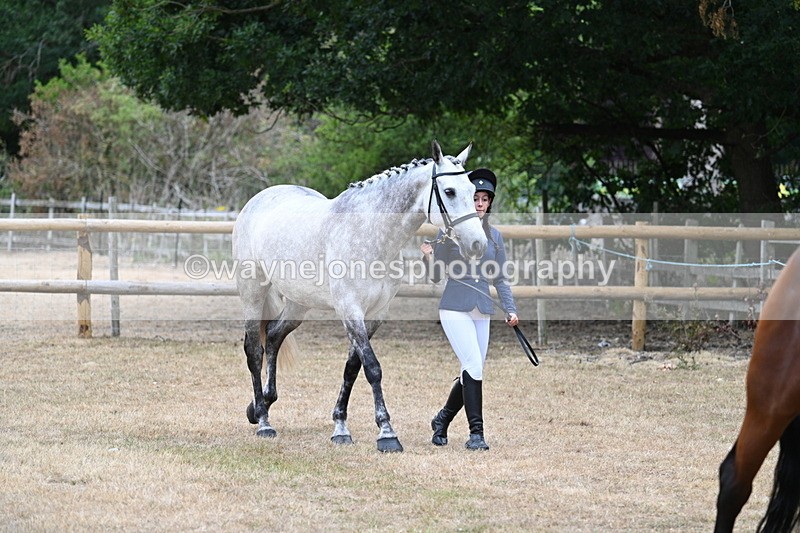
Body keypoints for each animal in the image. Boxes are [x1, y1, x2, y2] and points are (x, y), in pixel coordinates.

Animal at [232, 140, 487, 453]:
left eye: (473, 191)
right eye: (449, 191)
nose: (477, 244)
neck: (370, 234)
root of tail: (259, 199)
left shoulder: (375, 314)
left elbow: (353, 368)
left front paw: (340, 427)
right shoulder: (350, 310)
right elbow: (373, 368)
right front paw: (387, 433)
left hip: (297, 303)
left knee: (274, 336)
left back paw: (262, 404)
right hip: (253, 292)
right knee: (254, 351)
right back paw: (264, 420)